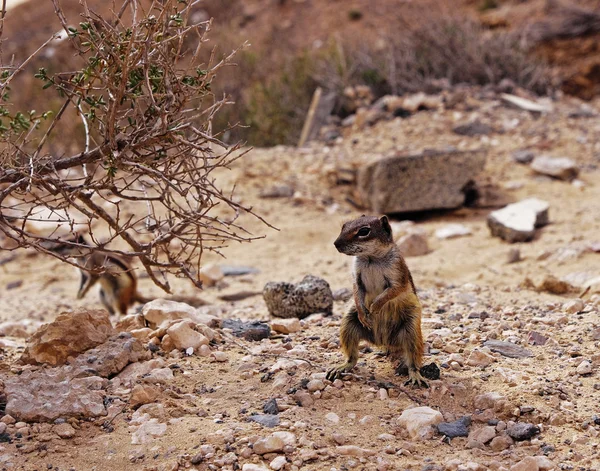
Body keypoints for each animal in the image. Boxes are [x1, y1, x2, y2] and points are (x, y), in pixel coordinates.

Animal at [326, 216, 428, 390]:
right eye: (344, 226)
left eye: (364, 231)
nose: (336, 244)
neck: (371, 259)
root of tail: (385, 342)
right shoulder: (356, 276)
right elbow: (356, 290)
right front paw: (365, 314)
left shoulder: (397, 274)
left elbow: (390, 292)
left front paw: (374, 308)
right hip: (348, 322)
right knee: (353, 357)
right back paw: (341, 367)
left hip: (412, 329)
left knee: (413, 359)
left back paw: (415, 375)